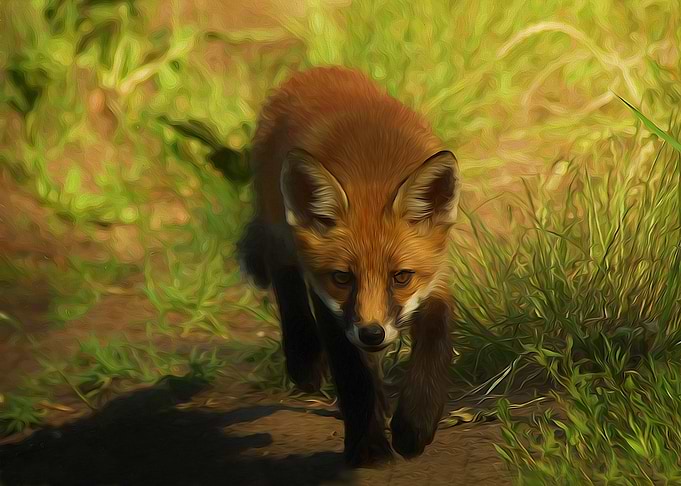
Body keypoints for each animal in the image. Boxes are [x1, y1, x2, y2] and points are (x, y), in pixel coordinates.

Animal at [236, 66, 460, 467]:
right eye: (342, 277)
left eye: (401, 277)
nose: (372, 334)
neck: (372, 167)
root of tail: (319, 70)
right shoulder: (329, 302)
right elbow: (351, 372)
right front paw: (367, 445)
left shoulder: (435, 277)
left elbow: (435, 345)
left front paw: (414, 424)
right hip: (280, 229)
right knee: (284, 276)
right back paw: (304, 359)